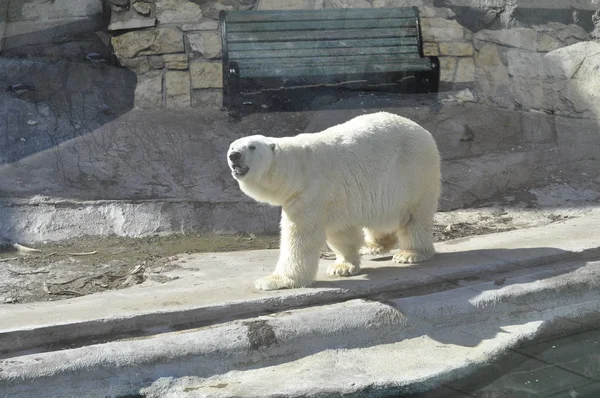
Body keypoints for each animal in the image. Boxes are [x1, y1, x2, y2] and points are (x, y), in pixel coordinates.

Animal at [227, 110, 442, 290]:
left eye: (252, 146)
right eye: (232, 146)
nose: (234, 156)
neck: (297, 168)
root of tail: (423, 131)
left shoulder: (309, 193)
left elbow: (300, 237)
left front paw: (272, 281)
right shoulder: (333, 199)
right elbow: (339, 231)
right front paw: (342, 267)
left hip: (413, 172)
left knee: (414, 217)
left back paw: (410, 254)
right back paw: (374, 245)